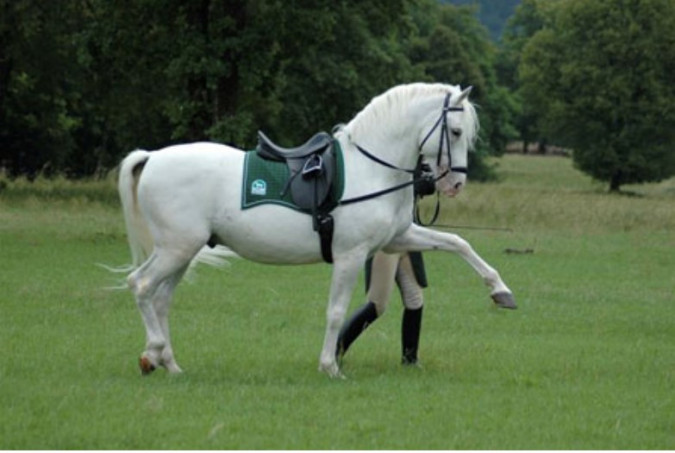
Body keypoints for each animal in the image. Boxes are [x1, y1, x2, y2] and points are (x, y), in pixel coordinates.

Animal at [117, 82, 516, 378]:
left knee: (161, 299)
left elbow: (458, 242)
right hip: (177, 249)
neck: (371, 168)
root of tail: (153, 157)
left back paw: (169, 364)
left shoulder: (397, 239)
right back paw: (154, 352)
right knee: (141, 285)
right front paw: (330, 366)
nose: (455, 185)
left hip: (182, 252)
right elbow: (336, 311)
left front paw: (500, 290)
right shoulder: (351, 255)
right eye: (456, 131)